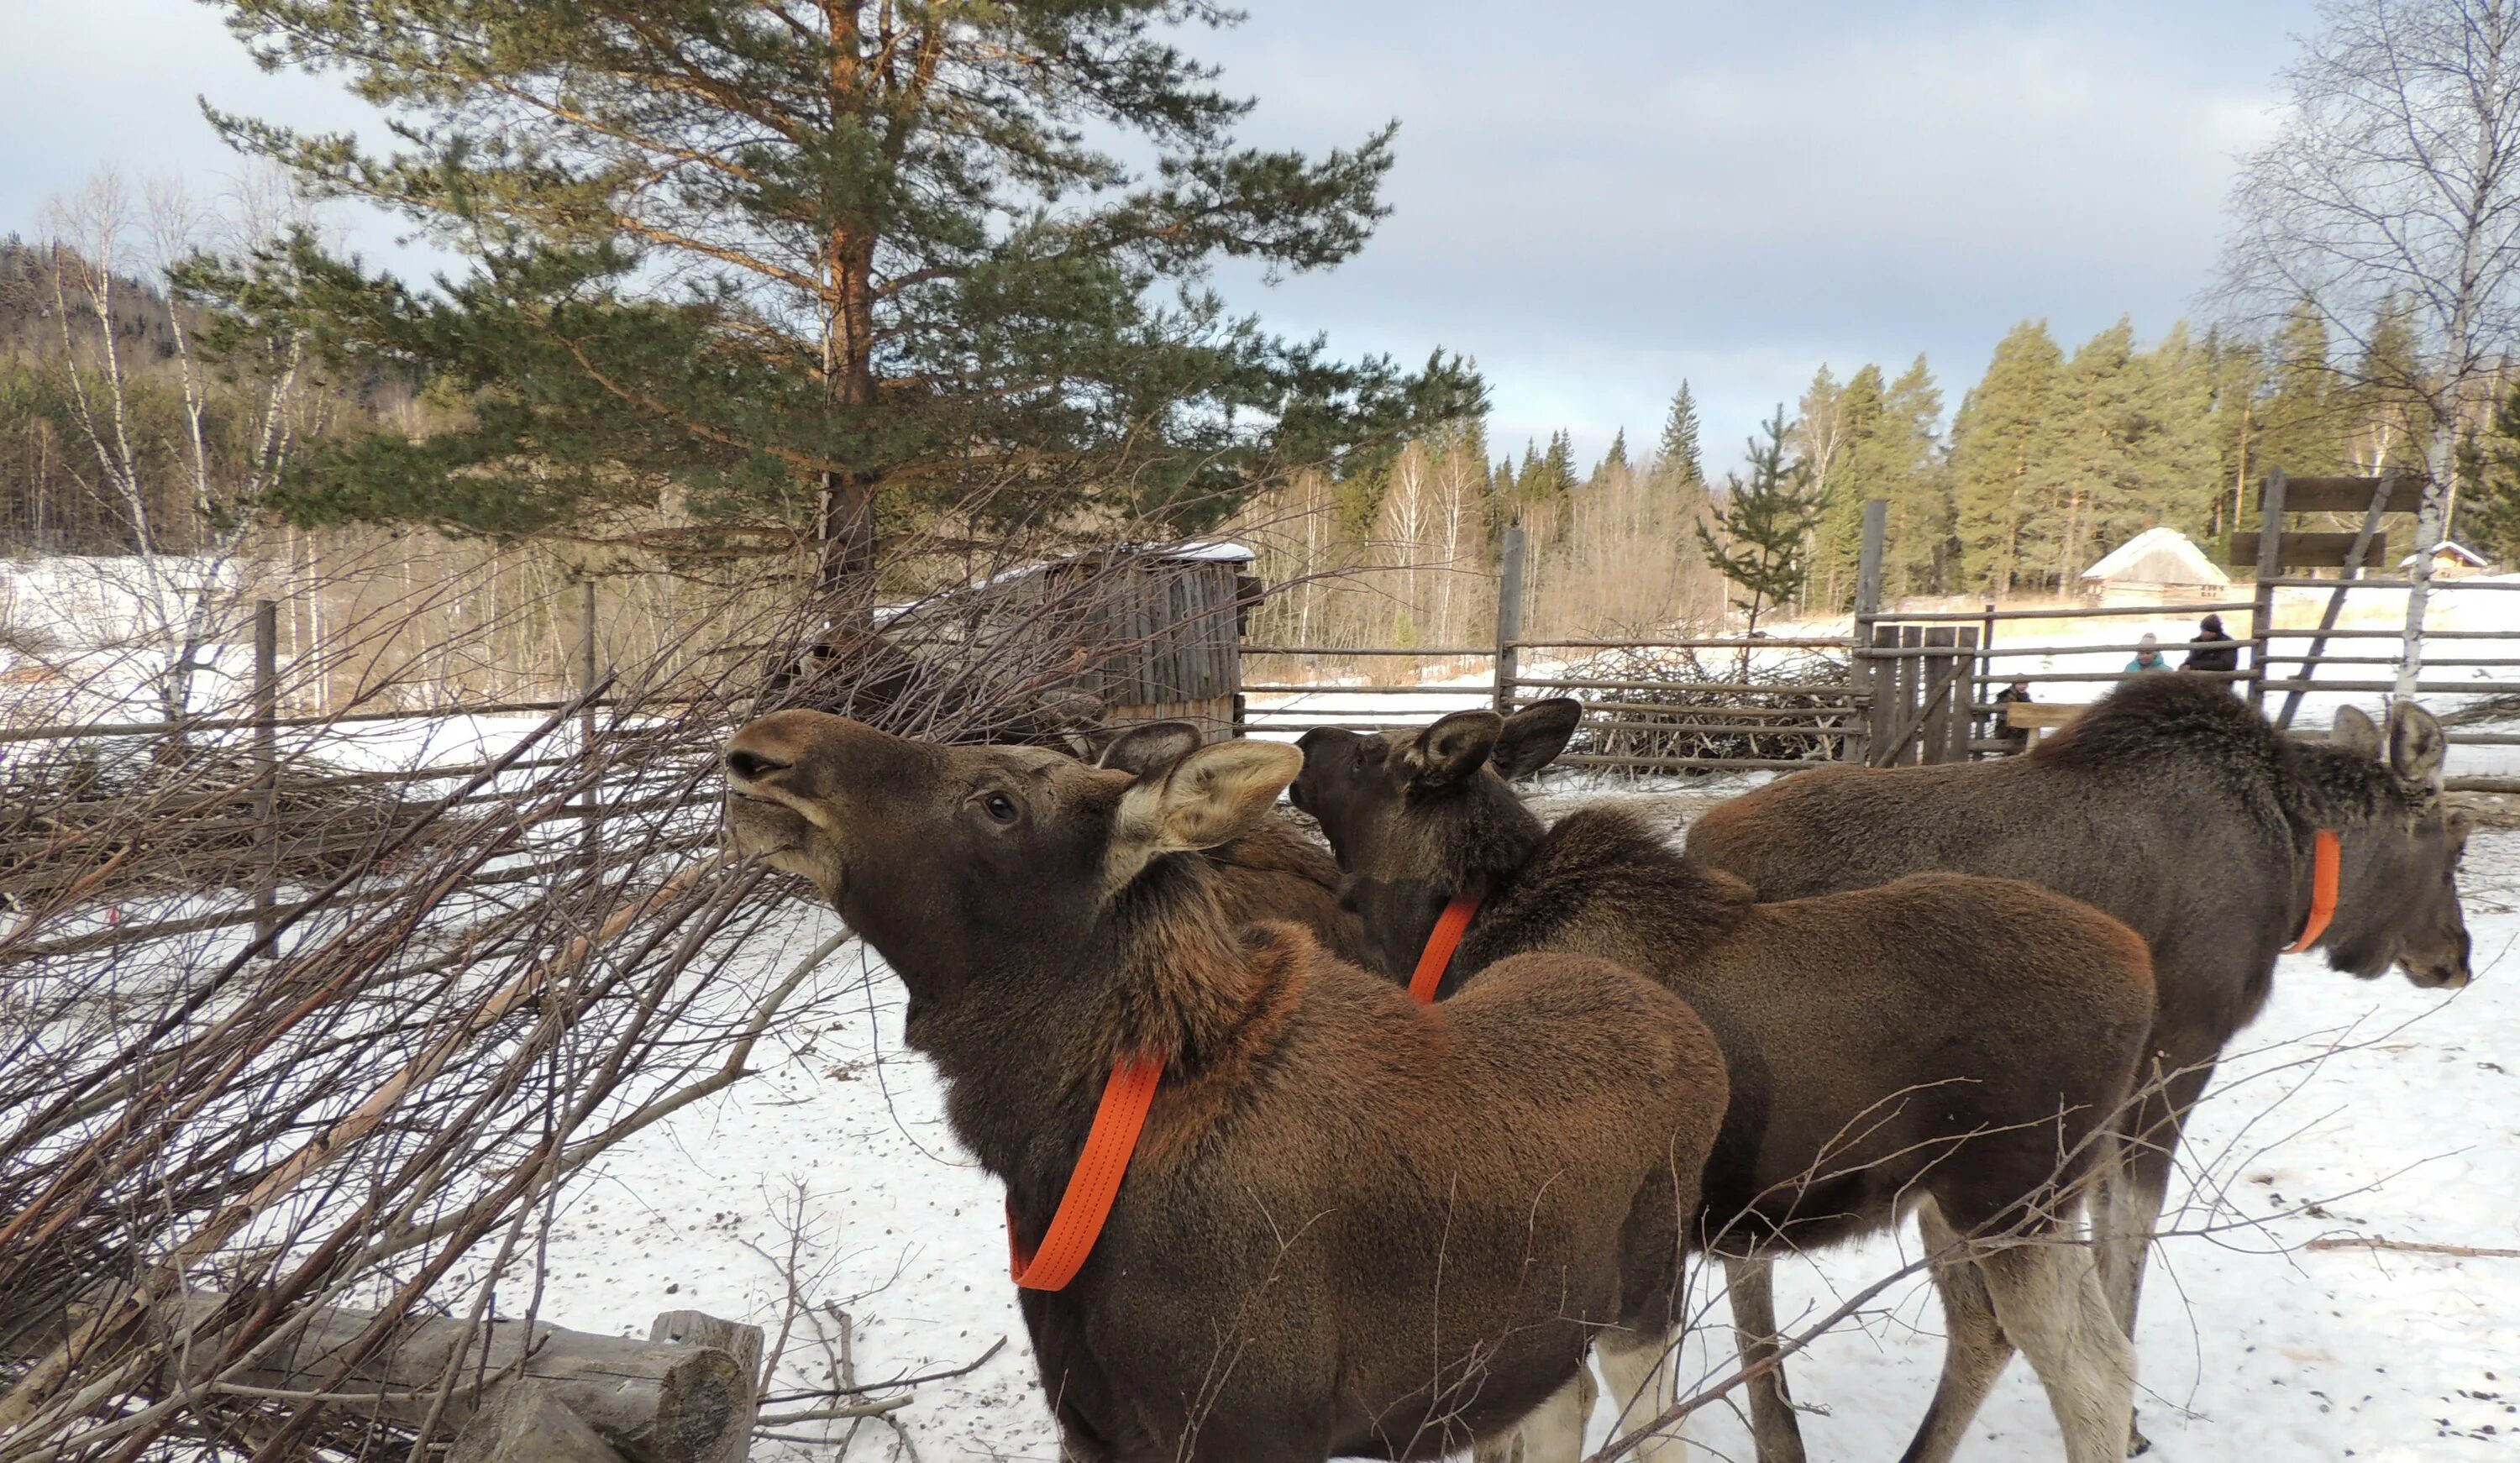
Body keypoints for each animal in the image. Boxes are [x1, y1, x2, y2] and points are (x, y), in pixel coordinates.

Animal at [721, 715, 1724, 1460]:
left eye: (999, 801)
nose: (763, 747)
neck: (1056, 1151)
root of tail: (1694, 1037)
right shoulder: (1099, 1428)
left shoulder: (1258, 1428)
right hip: (1535, 1338)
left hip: (1645, 1298)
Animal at [1290, 700, 2157, 1460]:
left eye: (1370, 755)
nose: (1303, 741)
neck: (1445, 939)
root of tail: (2143, 974)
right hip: (1963, 1204)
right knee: (2012, 1339)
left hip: (2015, 1199)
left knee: (2092, 1371)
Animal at [1683, 674, 2470, 1450]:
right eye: (2451, 846)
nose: (2455, 957)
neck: (2303, 861)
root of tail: (1701, 846)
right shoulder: (2177, 1053)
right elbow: (2129, 1224)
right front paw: (2133, 1422)